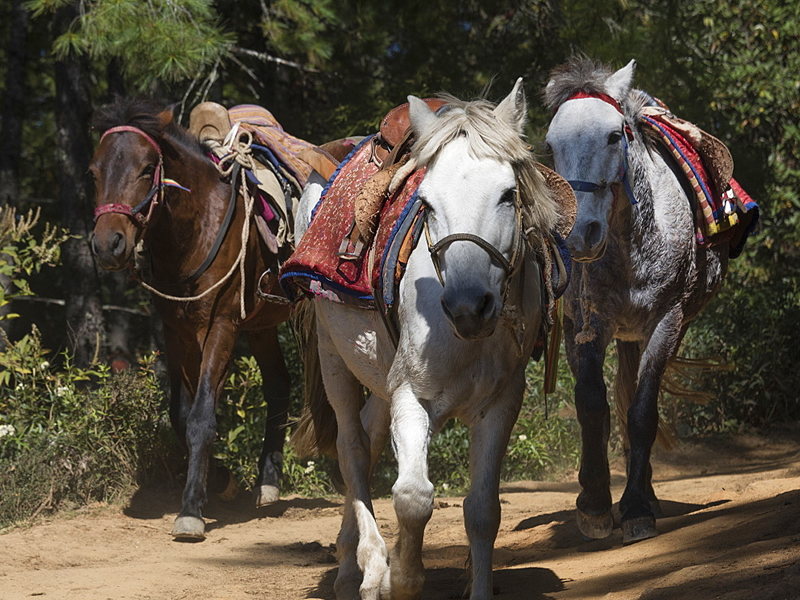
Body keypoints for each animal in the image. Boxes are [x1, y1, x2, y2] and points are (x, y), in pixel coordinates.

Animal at [89, 98, 297, 540]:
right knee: (278, 384)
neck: (195, 226)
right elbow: (180, 417)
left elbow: (201, 416)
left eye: (146, 169)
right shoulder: (177, 331)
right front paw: (222, 480)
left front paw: (190, 510)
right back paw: (268, 482)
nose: (108, 244)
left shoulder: (221, 326)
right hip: (262, 326)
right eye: (93, 172)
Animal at [290, 81, 562, 600]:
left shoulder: (501, 403)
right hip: (334, 358)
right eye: (427, 203)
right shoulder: (411, 397)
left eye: (508, 194)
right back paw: (363, 568)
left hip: (378, 373)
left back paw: (353, 560)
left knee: (370, 437)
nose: (468, 306)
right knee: (353, 450)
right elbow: (413, 497)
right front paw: (404, 577)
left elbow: (483, 511)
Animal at [544, 57, 731, 544]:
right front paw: (593, 502)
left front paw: (635, 509)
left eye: (615, 135)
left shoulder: (667, 321)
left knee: (636, 401)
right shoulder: (586, 324)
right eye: (550, 145)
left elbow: (643, 411)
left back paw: (644, 492)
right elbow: (593, 404)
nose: (578, 235)